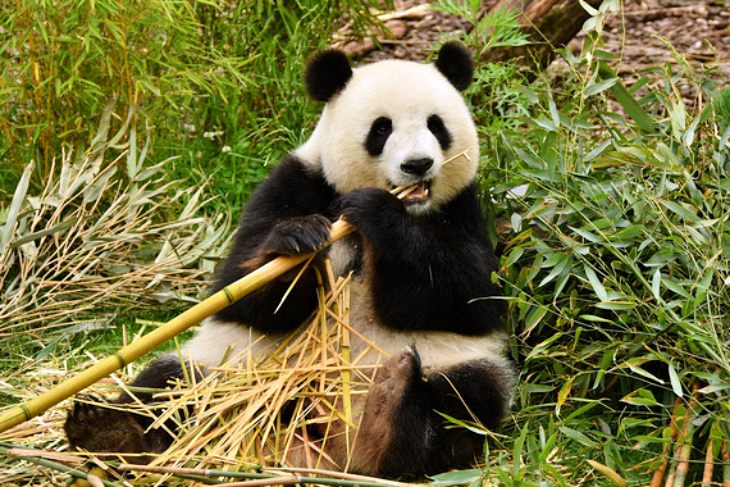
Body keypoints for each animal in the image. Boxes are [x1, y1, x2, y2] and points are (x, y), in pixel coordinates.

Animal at [64, 41, 514, 478]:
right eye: (382, 128)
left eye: (436, 125)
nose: (417, 165)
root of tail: (332, 451)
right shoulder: (296, 182)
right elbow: (242, 289)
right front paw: (297, 243)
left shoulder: (464, 209)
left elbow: (471, 295)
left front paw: (377, 212)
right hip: (232, 365)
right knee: (169, 387)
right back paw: (110, 432)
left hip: (450, 363)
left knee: (464, 401)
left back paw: (391, 412)